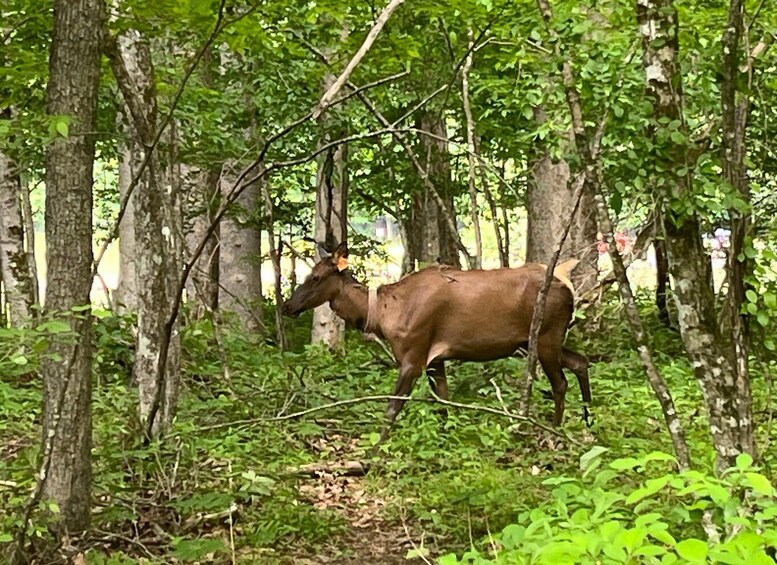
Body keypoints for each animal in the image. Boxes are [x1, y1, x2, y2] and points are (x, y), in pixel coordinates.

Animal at [282, 241, 591, 443]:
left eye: (316, 276)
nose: (287, 306)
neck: (381, 314)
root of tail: (569, 286)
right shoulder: (436, 360)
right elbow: (443, 403)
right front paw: (446, 439)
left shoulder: (414, 356)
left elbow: (392, 407)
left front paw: (374, 450)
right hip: (538, 341)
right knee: (581, 361)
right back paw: (589, 424)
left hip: (546, 335)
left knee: (560, 382)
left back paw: (555, 432)